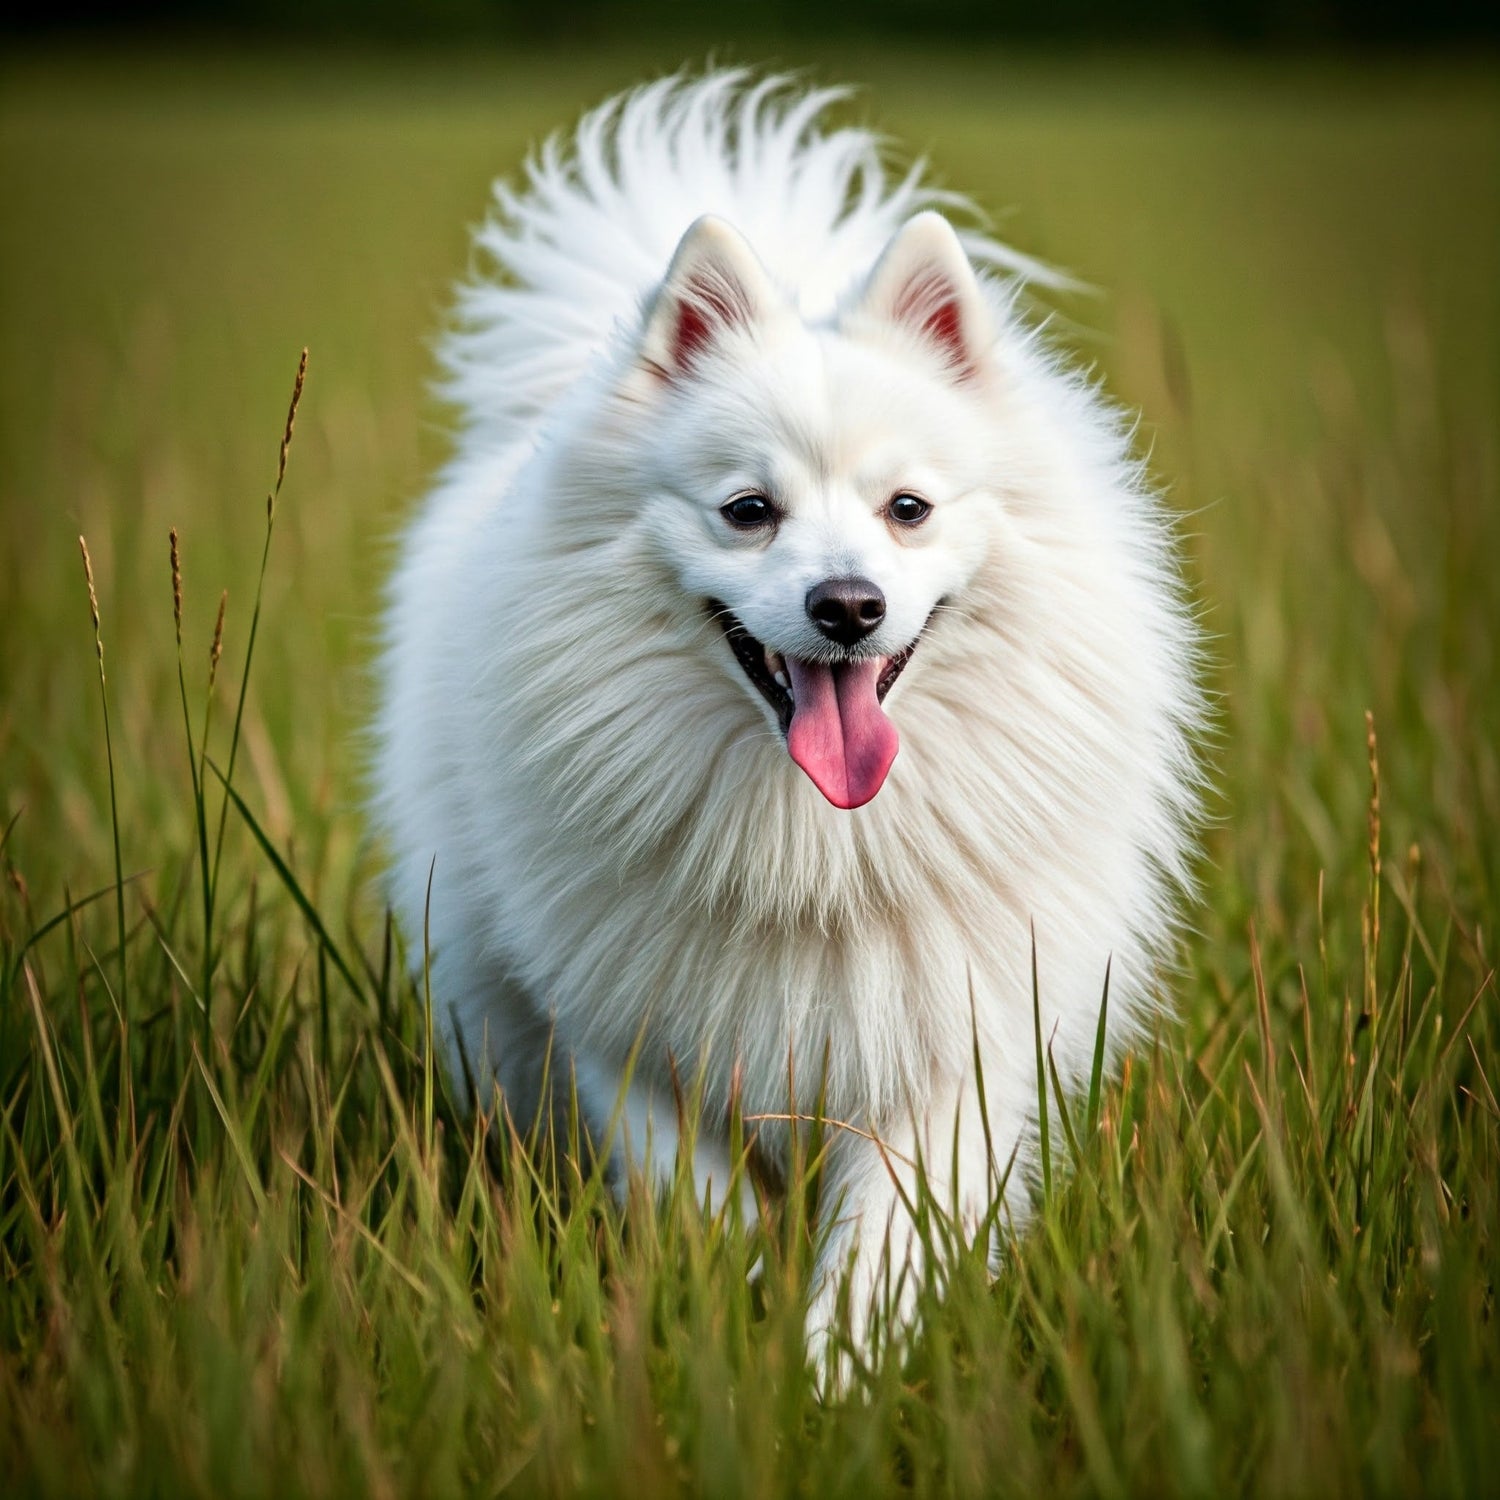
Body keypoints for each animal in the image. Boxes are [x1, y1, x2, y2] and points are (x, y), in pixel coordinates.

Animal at [375, 70, 1206, 1356]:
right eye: (747, 510)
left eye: (908, 508)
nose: (848, 605)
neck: (816, 849)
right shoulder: (635, 1042)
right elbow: (701, 1209)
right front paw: (724, 1333)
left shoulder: (945, 1049)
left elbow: (883, 1249)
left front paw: (834, 1375)